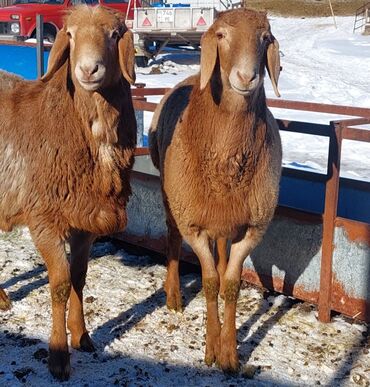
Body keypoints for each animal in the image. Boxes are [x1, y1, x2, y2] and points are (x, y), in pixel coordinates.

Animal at [0, 5, 136, 382]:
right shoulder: (44, 217)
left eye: (115, 34)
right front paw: (59, 357)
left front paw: (82, 336)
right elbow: (60, 284)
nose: (88, 69)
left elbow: (78, 279)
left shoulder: (86, 219)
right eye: (70, 35)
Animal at [149, 8, 282, 372]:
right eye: (221, 35)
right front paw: (211, 347)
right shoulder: (193, 224)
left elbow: (232, 284)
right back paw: (173, 294)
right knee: (172, 239)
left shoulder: (253, 227)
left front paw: (230, 352)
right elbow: (208, 283)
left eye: (265, 37)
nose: (247, 77)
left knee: (221, 252)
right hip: (172, 199)